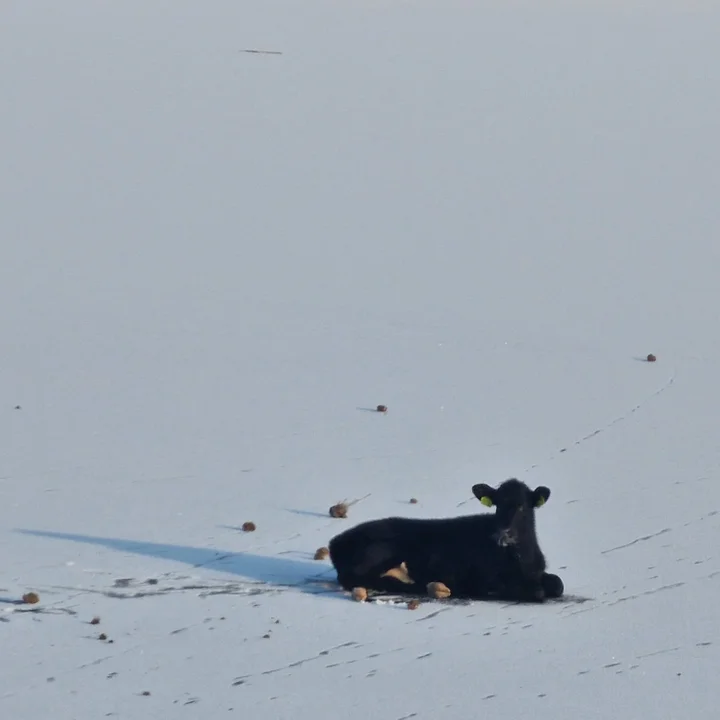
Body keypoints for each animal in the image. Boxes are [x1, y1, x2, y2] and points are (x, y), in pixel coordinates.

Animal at [326, 478, 564, 600]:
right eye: (497, 504)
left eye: (522, 506)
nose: (502, 534)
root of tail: (335, 543)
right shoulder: (486, 578)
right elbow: (532, 590)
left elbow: (557, 583)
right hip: (379, 551)